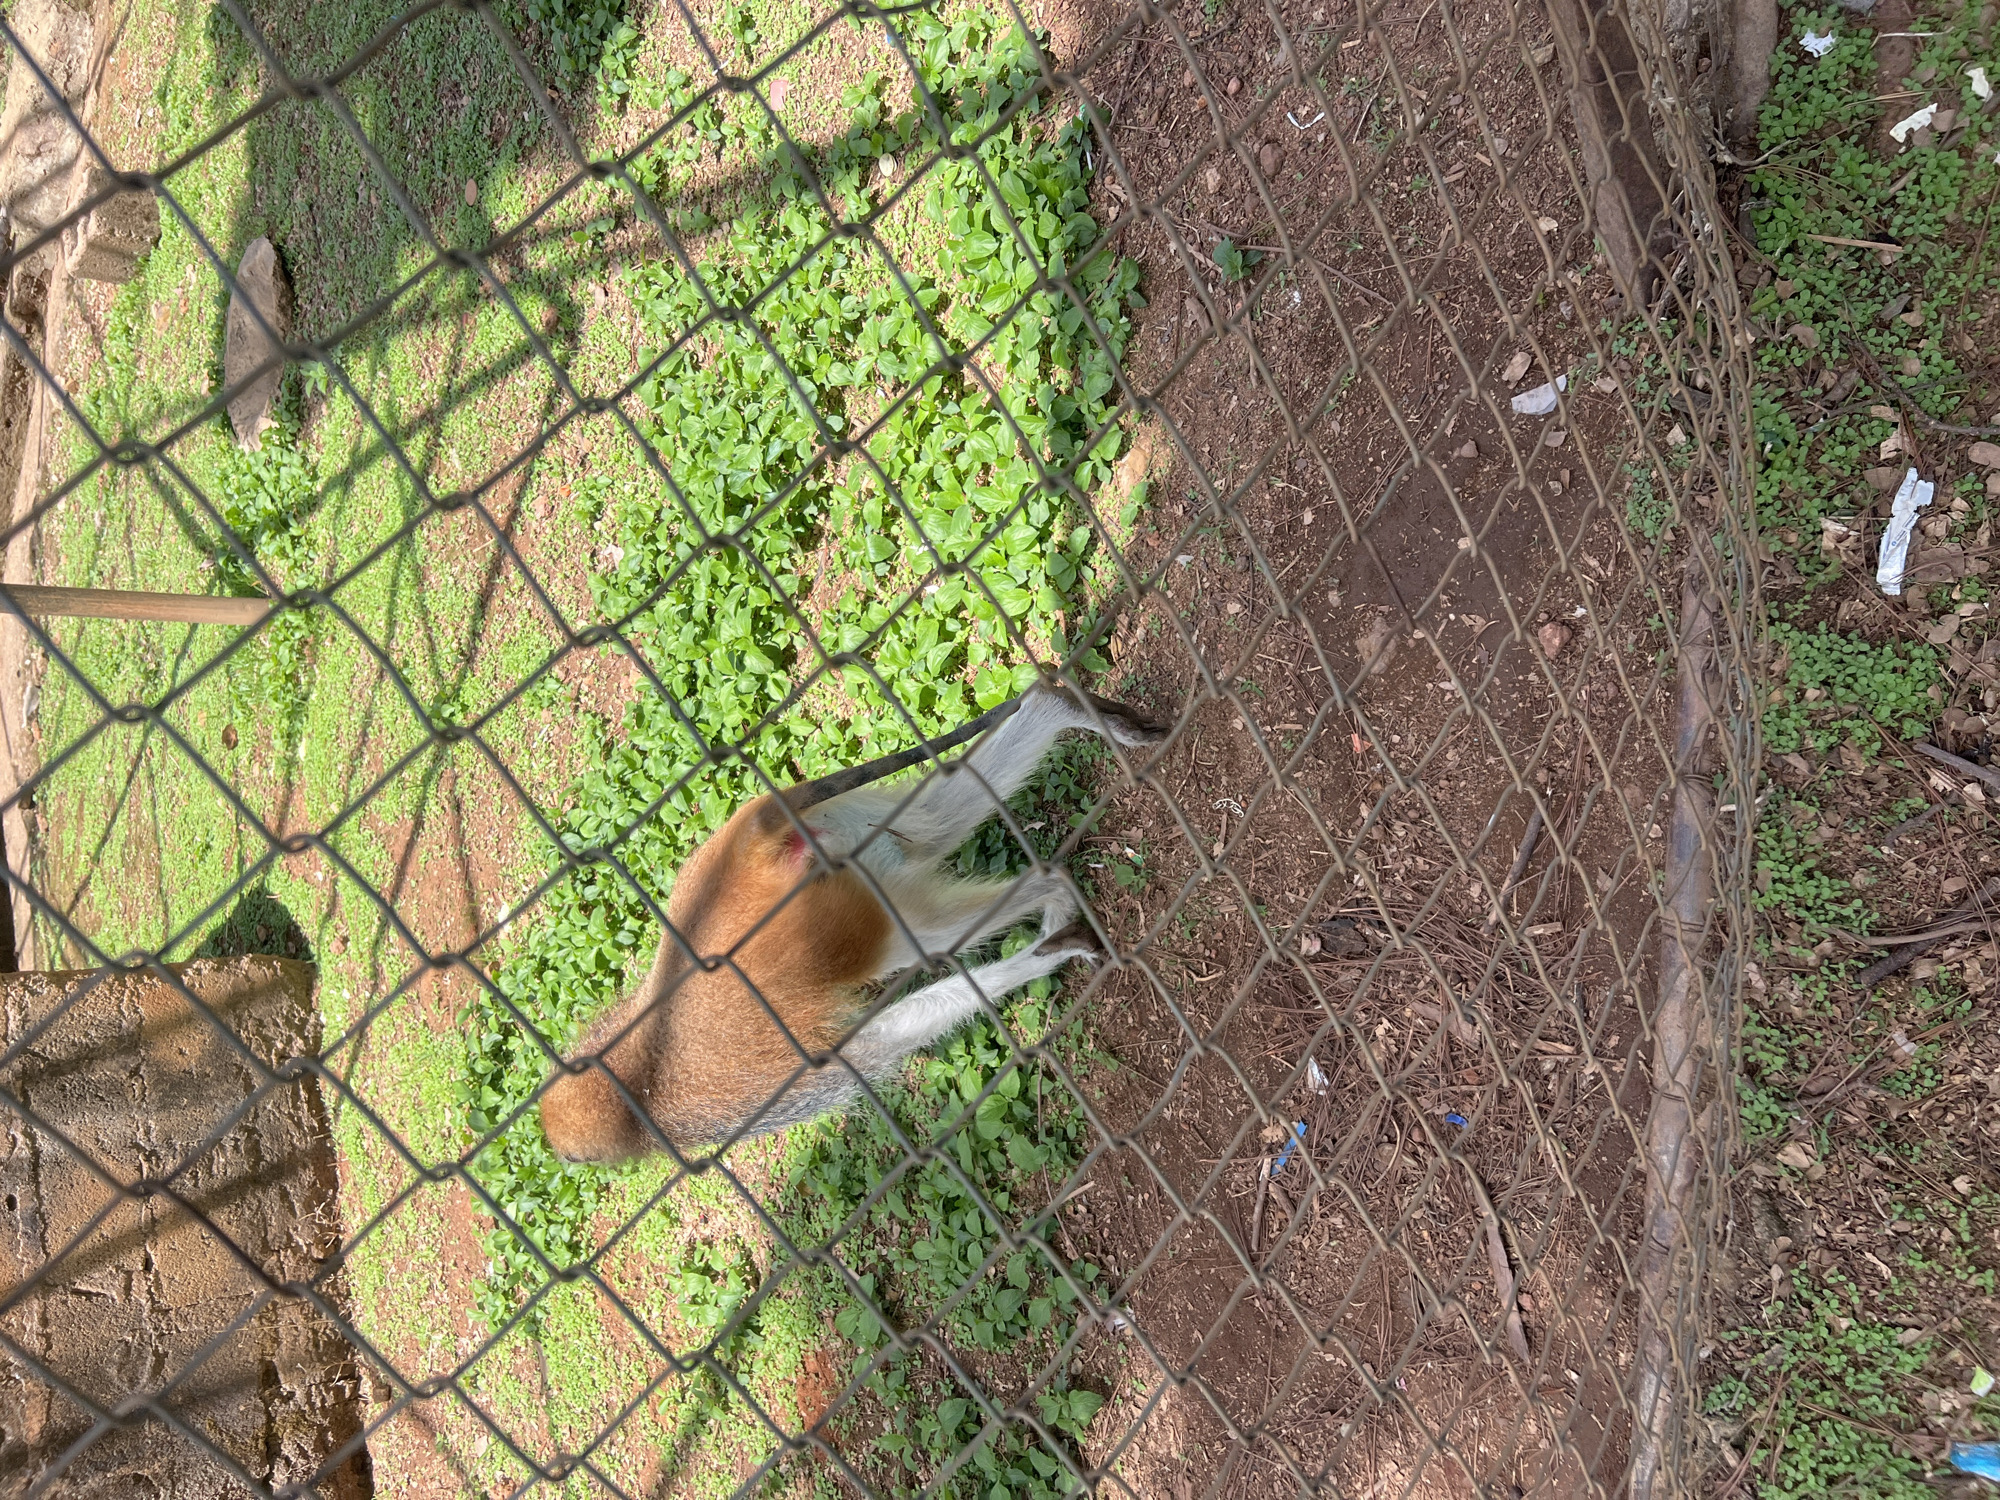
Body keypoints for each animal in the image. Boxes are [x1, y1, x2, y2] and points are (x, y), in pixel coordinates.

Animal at [537, 680, 1168, 1162]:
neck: (629, 1074)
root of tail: (749, 851)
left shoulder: (740, 1104)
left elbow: (870, 1049)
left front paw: (1045, 956)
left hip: (834, 909)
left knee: (928, 935)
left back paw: (1053, 901)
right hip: (846, 834)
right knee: (934, 825)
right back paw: (1060, 710)